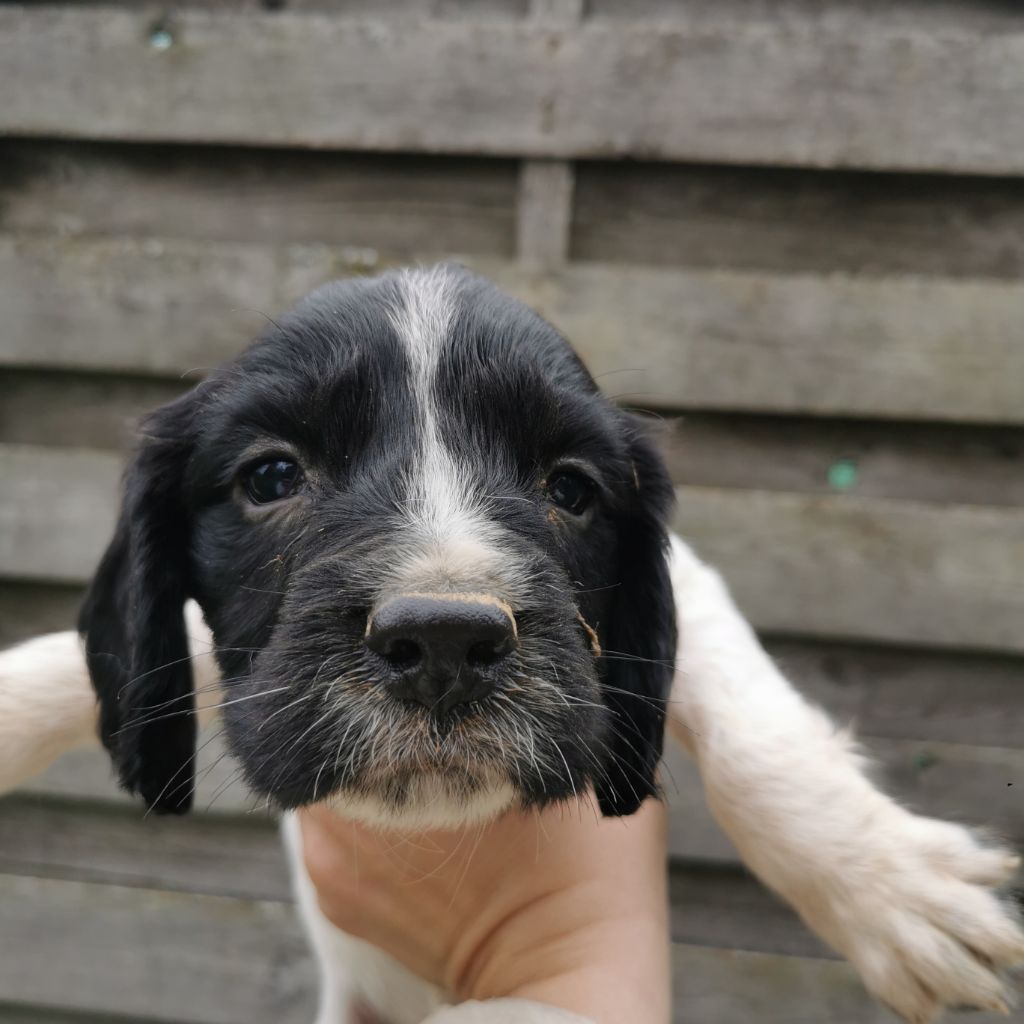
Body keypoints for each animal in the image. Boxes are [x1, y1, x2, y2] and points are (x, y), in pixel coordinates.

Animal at [2, 266, 1024, 1024]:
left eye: (569, 489)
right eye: (272, 476)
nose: (444, 639)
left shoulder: (681, 592)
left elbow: (755, 729)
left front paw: (893, 889)